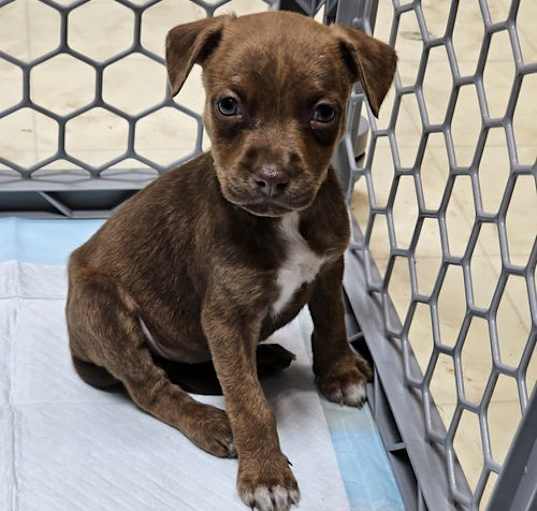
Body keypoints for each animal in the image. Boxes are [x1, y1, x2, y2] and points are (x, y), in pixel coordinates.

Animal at [66, 11, 394, 511]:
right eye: (227, 105)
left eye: (325, 112)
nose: (272, 177)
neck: (282, 223)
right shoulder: (227, 316)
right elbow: (247, 400)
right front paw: (265, 473)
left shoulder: (328, 269)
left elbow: (334, 321)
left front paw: (338, 372)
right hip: (103, 310)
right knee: (150, 388)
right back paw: (208, 421)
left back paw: (264, 358)